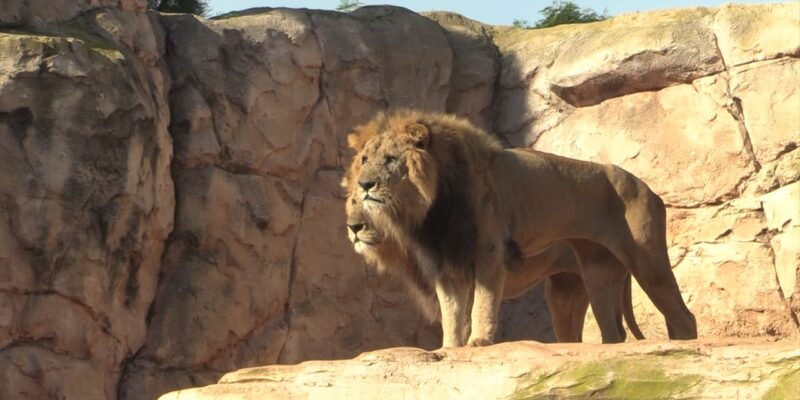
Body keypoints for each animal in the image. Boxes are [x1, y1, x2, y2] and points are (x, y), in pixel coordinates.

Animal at [347, 110, 697, 347]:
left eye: (391, 159)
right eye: (364, 159)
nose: (365, 185)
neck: (432, 209)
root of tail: (649, 189)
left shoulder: (489, 253)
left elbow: (483, 303)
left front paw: (479, 341)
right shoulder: (447, 264)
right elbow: (452, 313)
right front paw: (450, 348)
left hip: (646, 260)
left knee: (682, 316)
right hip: (592, 275)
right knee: (612, 331)